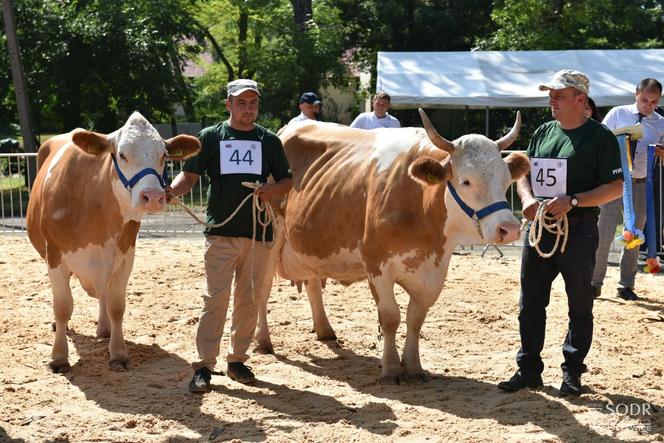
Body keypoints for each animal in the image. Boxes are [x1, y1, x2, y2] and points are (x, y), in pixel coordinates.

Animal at [26, 112, 201, 372]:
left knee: (104, 295)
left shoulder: (126, 256)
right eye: (121, 154)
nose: (153, 197)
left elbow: (117, 305)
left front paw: (118, 353)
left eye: (164, 156)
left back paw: (105, 328)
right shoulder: (55, 255)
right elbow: (63, 306)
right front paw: (59, 357)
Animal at [254, 110, 528, 382]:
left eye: (506, 180)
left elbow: (415, 319)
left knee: (312, 284)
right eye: (466, 181)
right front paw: (391, 367)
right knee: (262, 290)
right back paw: (263, 342)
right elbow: (390, 317)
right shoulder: (377, 265)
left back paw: (324, 330)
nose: (510, 228)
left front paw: (414, 366)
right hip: (269, 240)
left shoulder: (434, 271)